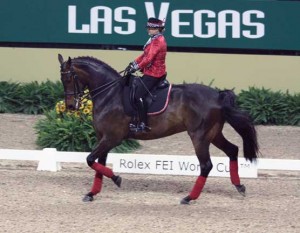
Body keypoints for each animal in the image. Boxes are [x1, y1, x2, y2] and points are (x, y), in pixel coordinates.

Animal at [58, 54, 258, 204]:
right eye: (62, 79)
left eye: (69, 78)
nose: (70, 106)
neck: (110, 94)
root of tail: (218, 95)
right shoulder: (103, 138)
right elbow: (98, 164)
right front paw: (92, 194)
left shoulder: (112, 138)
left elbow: (90, 160)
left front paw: (117, 179)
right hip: (214, 134)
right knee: (232, 150)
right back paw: (239, 187)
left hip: (199, 136)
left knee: (206, 165)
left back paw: (189, 197)